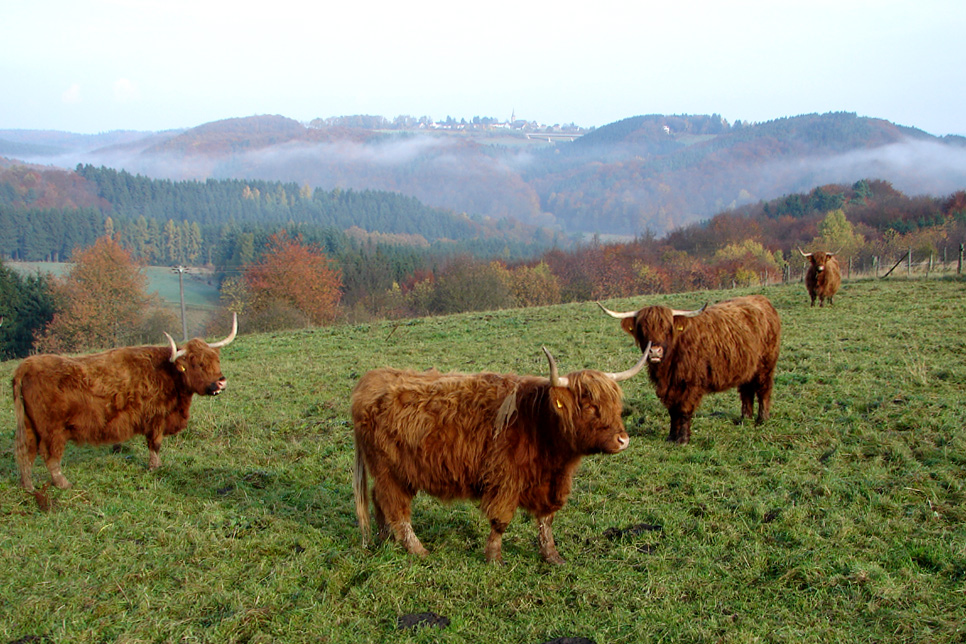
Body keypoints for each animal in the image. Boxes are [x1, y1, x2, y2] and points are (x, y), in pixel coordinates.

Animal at [13, 314, 238, 490]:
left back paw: (29, 487)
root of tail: (26, 364)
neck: (169, 373)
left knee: (25, 453)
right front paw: (155, 467)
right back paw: (63, 484)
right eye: (198, 364)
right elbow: (155, 445)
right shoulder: (156, 418)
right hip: (53, 431)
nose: (221, 382)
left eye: (216, 360)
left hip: (30, 426)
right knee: (50, 456)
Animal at [350, 348, 652, 564]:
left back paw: (384, 538)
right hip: (390, 471)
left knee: (379, 500)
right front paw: (494, 558)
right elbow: (501, 521)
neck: (540, 423)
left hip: (394, 473)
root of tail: (371, 379)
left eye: (615, 404)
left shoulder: (547, 483)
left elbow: (546, 521)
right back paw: (417, 550)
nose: (623, 440)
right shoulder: (505, 479)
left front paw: (552, 557)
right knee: (395, 508)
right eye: (589, 406)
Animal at [600, 296, 784, 442]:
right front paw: (671, 437)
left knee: (764, 390)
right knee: (746, 391)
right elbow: (673, 411)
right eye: (642, 329)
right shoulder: (669, 387)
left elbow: (683, 409)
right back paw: (744, 419)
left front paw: (682, 439)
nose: (654, 351)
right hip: (747, 367)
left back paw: (762, 420)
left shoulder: (690, 384)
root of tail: (761, 300)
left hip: (765, 366)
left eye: (667, 329)